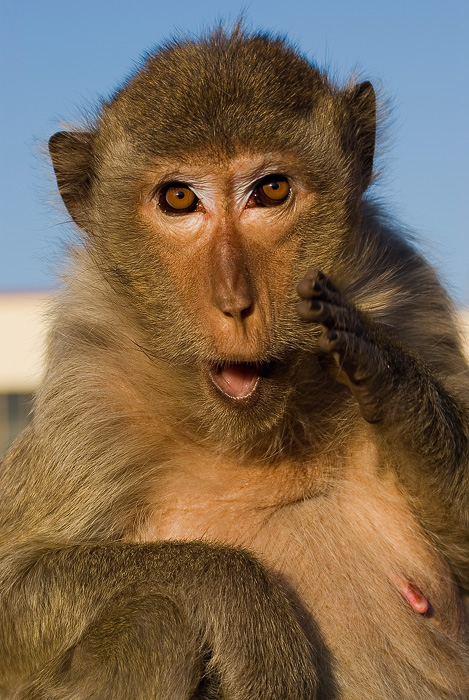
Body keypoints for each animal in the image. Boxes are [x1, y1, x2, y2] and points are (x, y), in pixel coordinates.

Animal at [0, 24, 468, 700]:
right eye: (179, 198)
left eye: (270, 189)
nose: (235, 301)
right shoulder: (89, 388)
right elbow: (14, 583)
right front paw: (248, 606)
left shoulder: (410, 296)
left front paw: (385, 366)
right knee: (154, 618)